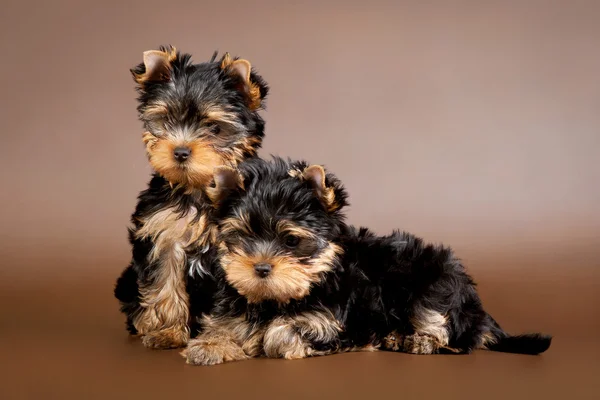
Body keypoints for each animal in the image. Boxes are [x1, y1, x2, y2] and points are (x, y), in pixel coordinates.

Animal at [112, 45, 270, 348]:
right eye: (166, 120)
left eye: (214, 128)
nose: (181, 151)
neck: (197, 190)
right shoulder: (163, 236)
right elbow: (165, 284)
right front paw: (168, 332)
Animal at [183, 157, 552, 366]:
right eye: (242, 237)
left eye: (290, 241)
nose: (260, 268)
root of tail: (479, 310)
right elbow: (227, 326)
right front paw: (209, 345)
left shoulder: (330, 321)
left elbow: (282, 332)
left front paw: (267, 340)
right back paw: (397, 337)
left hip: (435, 282)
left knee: (452, 335)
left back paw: (419, 340)